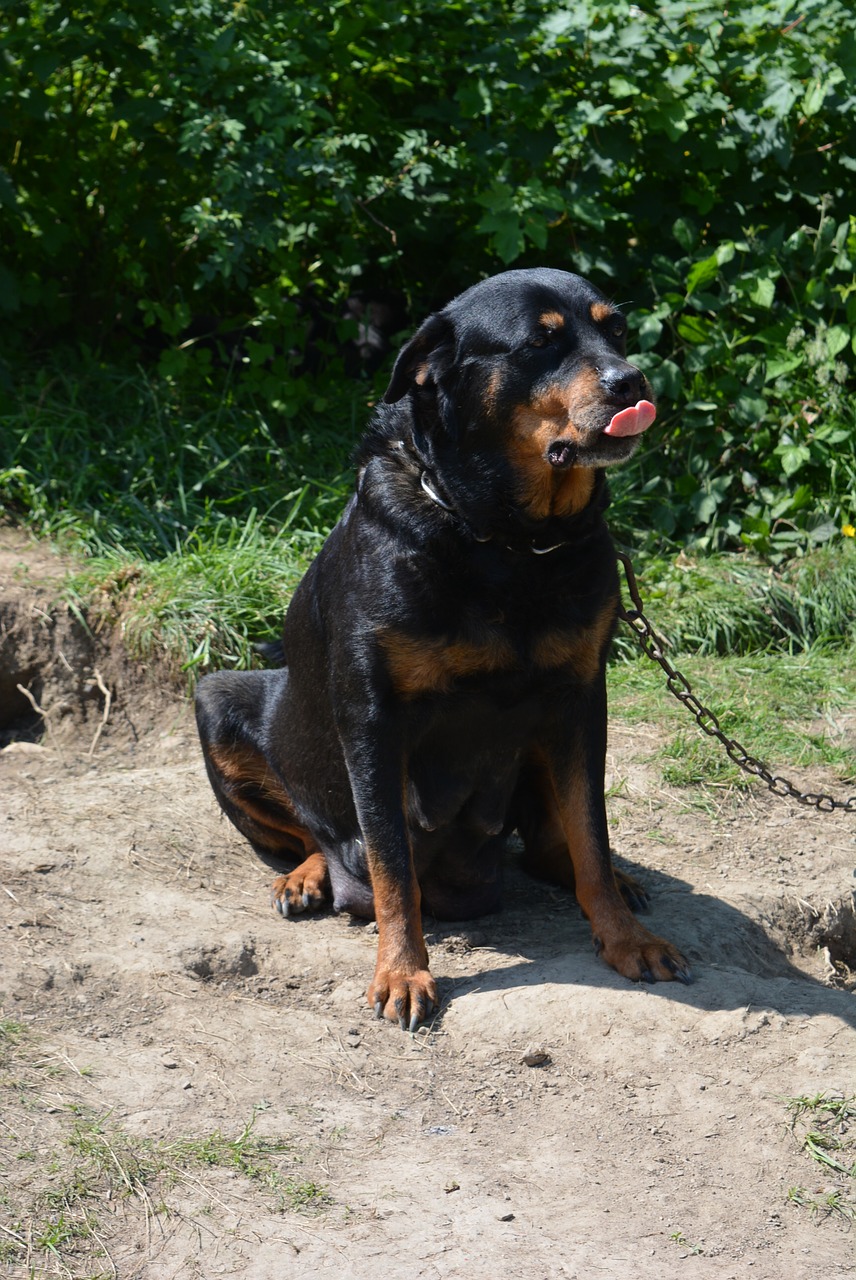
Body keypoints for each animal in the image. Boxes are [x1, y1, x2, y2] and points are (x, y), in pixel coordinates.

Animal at [197, 270, 690, 1029]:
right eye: (541, 342)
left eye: (616, 331)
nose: (630, 379)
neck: (510, 542)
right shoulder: (373, 718)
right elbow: (392, 865)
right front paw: (402, 971)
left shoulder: (581, 698)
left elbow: (590, 828)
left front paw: (625, 937)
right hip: (218, 700)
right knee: (311, 827)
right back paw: (307, 876)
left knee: (554, 845)